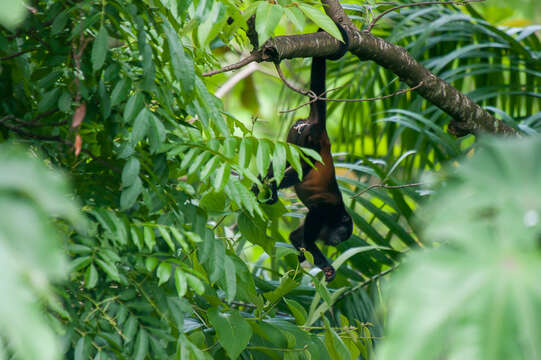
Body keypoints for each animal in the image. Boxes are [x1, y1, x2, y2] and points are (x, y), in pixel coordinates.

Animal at [256, 26, 352, 282]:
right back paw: (270, 186)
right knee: (302, 166)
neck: (339, 215)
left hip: (295, 133)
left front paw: (315, 262)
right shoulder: (325, 212)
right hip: (309, 139)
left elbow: (296, 238)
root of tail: (320, 128)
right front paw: (324, 263)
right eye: (342, 232)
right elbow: (309, 231)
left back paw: (261, 182)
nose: (337, 242)